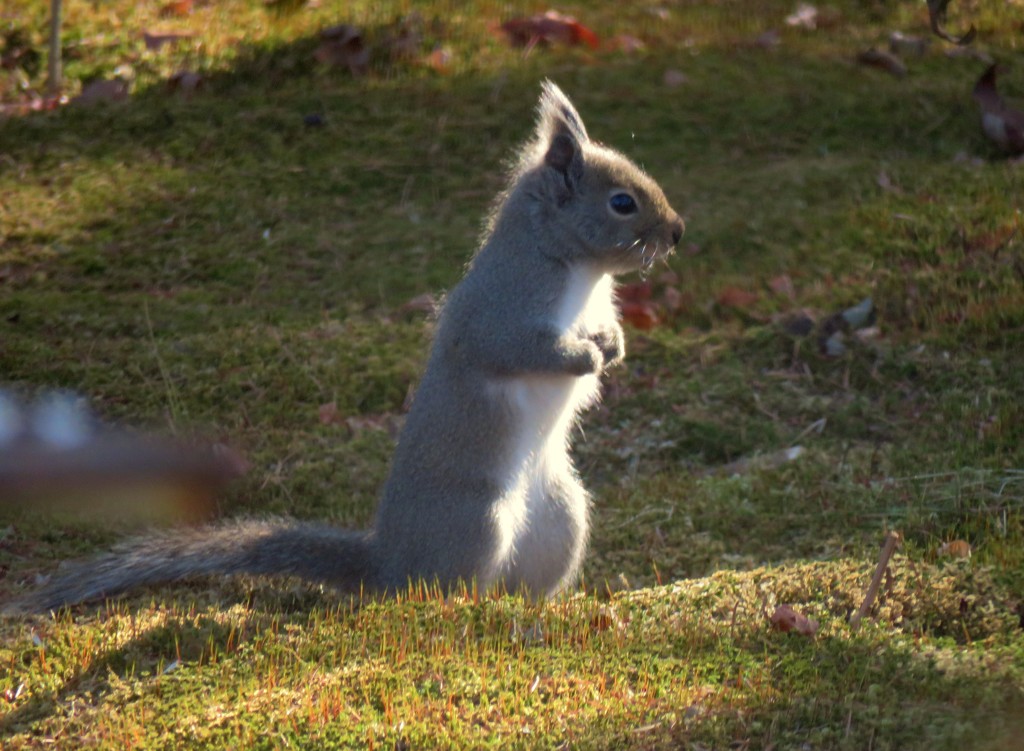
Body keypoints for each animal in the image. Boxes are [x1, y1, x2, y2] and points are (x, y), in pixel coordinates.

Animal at [8, 80, 684, 614]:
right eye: (621, 202)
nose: (677, 232)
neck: (576, 271)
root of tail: (386, 564)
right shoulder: (502, 309)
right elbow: (512, 349)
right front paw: (584, 358)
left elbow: (605, 330)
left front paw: (612, 346)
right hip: (478, 520)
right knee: (442, 588)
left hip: (561, 515)